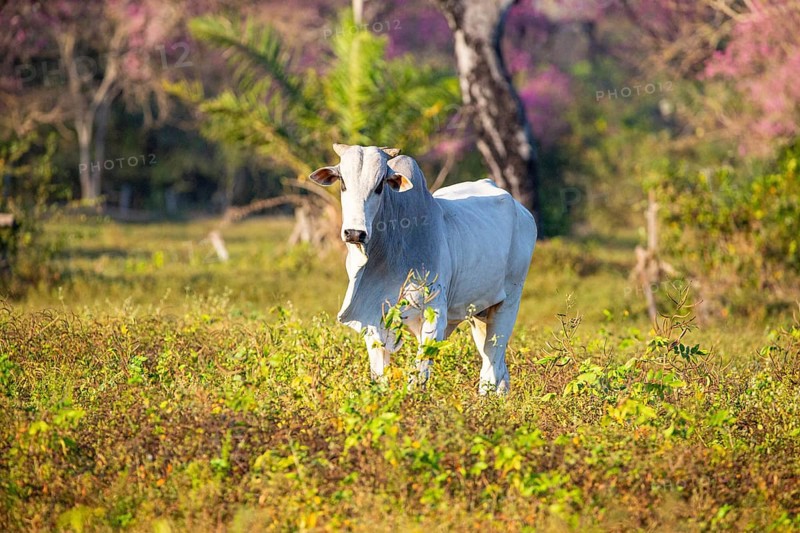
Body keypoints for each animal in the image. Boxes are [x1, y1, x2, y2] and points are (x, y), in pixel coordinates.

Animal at [310, 144, 537, 394]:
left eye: (379, 186)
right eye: (342, 182)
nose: (354, 233)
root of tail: (523, 212)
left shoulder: (435, 314)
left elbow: (418, 375)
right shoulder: (372, 317)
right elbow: (380, 373)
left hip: (509, 302)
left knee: (492, 364)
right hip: (479, 313)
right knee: (498, 365)